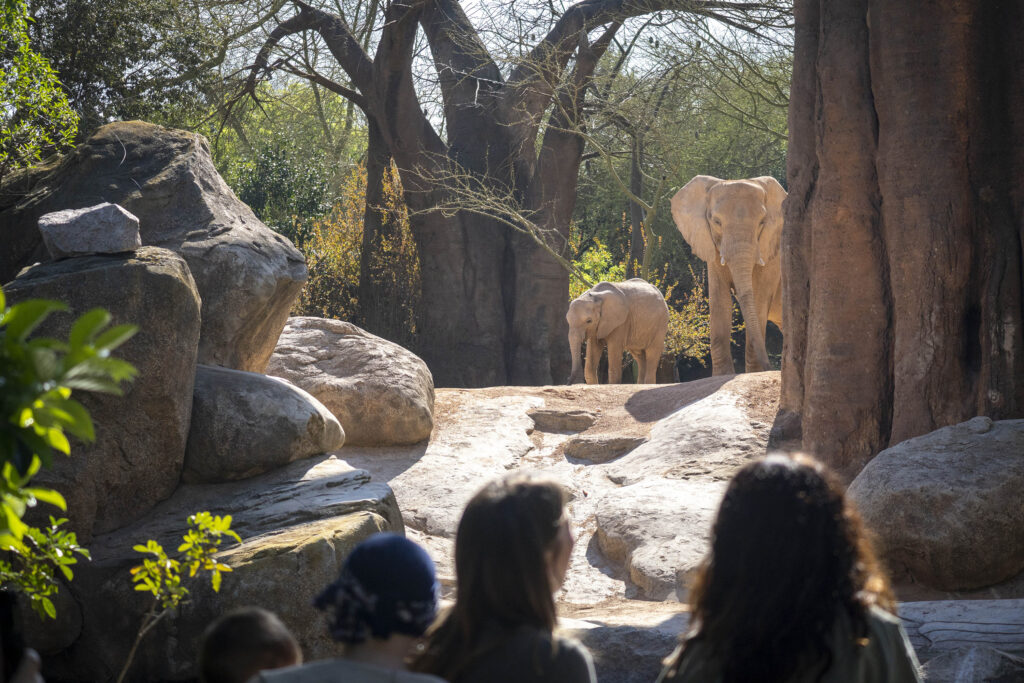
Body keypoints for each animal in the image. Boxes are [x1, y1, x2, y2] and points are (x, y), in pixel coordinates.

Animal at [670, 175, 786, 376]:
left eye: (762, 222)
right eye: (716, 222)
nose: (769, 368)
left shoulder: (771, 254)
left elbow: (759, 300)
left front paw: (753, 374)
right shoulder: (713, 252)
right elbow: (720, 301)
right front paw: (723, 375)